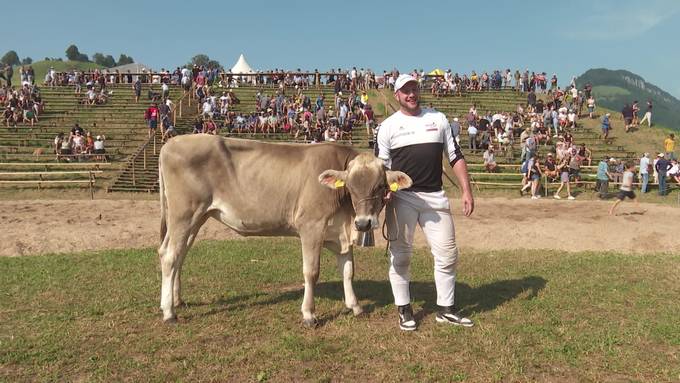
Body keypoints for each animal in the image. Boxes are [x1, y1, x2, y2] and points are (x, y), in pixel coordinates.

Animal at [159, 136, 412, 328]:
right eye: (350, 186)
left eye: (380, 186)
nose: (364, 224)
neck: (347, 215)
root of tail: (171, 142)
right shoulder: (311, 226)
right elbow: (311, 272)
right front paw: (309, 314)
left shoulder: (339, 233)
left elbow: (348, 271)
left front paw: (355, 306)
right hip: (184, 214)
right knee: (170, 257)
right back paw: (169, 312)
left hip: (196, 218)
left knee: (177, 255)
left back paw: (177, 301)